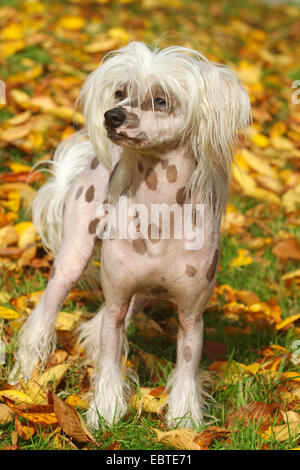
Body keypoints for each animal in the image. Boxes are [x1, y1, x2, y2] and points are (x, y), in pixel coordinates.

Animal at [9, 41, 251, 430]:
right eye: (120, 93)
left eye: (161, 100)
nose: (112, 116)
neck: (158, 216)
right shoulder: (117, 305)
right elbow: (109, 359)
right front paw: (105, 412)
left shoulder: (191, 316)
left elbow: (186, 369)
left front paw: (184, 421)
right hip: (72, 260)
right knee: (44, 315)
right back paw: (24, 373)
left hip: (143, 291)